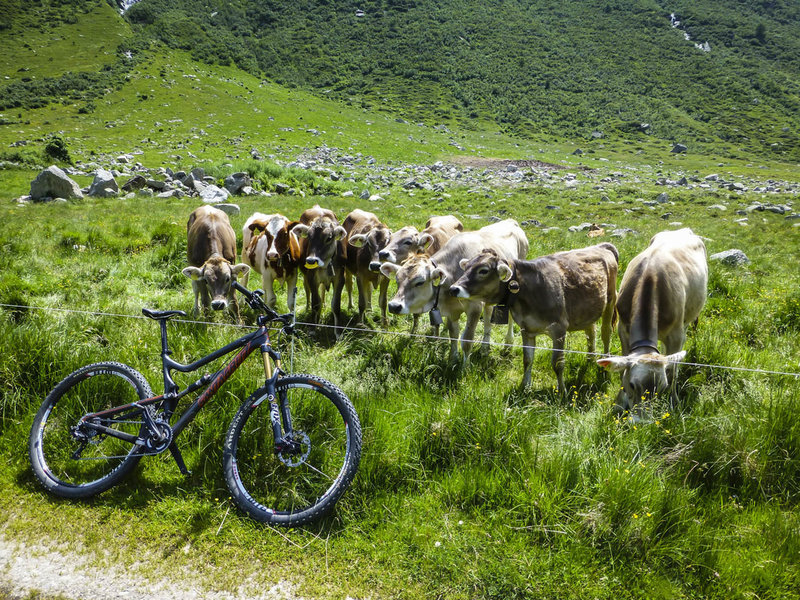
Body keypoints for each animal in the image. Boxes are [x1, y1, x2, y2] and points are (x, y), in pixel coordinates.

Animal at [382, 219, 532, 364]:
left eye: (420, 282)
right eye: (397, 280)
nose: (394, 306)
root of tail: (511, 221)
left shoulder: (475, 307)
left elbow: (467, 340)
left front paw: (465, 367)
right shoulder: (452, 311)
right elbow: (453, 335)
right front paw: (452, 360)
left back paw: (508, 343)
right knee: (488, 318)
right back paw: (485, 348)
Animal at [450, 241, 620, 396]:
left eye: (483, 270)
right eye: (466, 267)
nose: (453, 288)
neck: (528, 291)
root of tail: (601, 246)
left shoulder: (559, 328)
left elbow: (558, 363)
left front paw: (562, 392)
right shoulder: (526, 328)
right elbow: (527, 359)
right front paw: (525, 386)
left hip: (611, 301)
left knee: (606, 334)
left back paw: (605, 363)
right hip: (588, 309)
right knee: (591, 330)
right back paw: (590, 358)